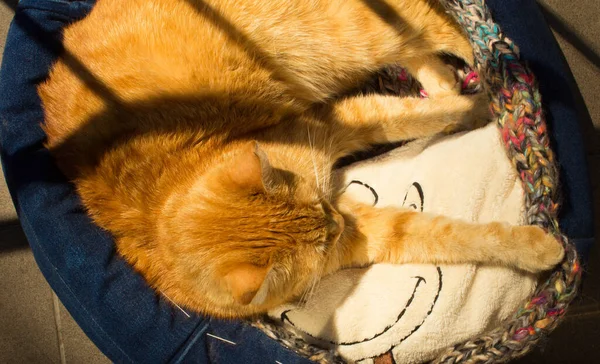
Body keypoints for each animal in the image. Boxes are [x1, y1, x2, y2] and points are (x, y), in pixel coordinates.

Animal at [37, 0, 564, 318]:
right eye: (322, 233)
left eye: (320, 208)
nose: (337, 223)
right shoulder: (363, 233)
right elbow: (444, 235)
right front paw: (537, 249)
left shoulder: (338, 119)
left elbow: (420, 117)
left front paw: (483, 107)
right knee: (423, 45)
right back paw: (448, 80)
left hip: (346, 38)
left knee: (446, 28)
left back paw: (500, 76)